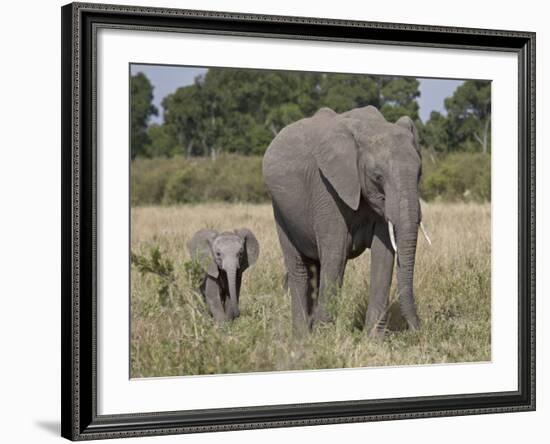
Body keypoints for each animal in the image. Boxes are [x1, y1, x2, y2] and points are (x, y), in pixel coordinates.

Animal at [264, 106, 432, 336]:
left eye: (420, 173)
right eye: (377, 176)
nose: (419, 330)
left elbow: (383, 255)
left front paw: (373, 339)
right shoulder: (326, 188)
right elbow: (336, 254)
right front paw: (324, 338)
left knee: (316, 268)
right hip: (280, 210)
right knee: (300, 268)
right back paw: (302, 336)